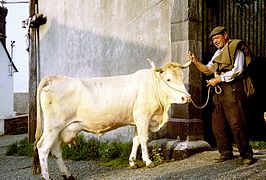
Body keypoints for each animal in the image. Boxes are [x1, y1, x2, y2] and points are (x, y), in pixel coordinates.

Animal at [32, 59, 191, 179]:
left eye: (182, 77)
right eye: (168, 79)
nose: (186, 97)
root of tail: (55, 78)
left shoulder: (136, 119)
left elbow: (136, 140)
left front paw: (133, 162)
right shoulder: (143, 116)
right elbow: (144, 139)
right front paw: (148, 161)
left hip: (61, 129)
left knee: (56, 150)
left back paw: (67, 174)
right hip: (53, 127)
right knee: (43, 147)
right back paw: (47, 177)